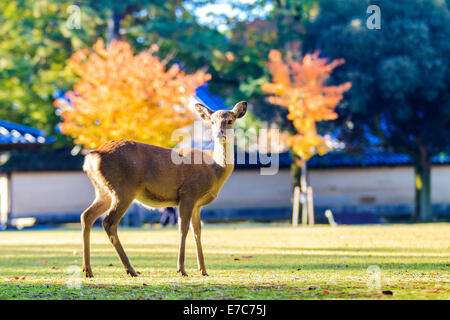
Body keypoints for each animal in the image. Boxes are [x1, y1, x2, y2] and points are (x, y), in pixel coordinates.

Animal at [78, 100, 246, 278]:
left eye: (230, 120)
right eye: (212, 122)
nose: (220, 134)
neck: (214, 168)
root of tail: (91, 158)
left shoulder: (197, 203)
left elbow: (197, 231)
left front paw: (203, 270)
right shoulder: (188, 193)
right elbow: (183, 229)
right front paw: (182, 269)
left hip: (103, 191)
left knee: (86, 216)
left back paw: (88, 269)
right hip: (123, 188)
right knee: (108, 222)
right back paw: (130, 270)